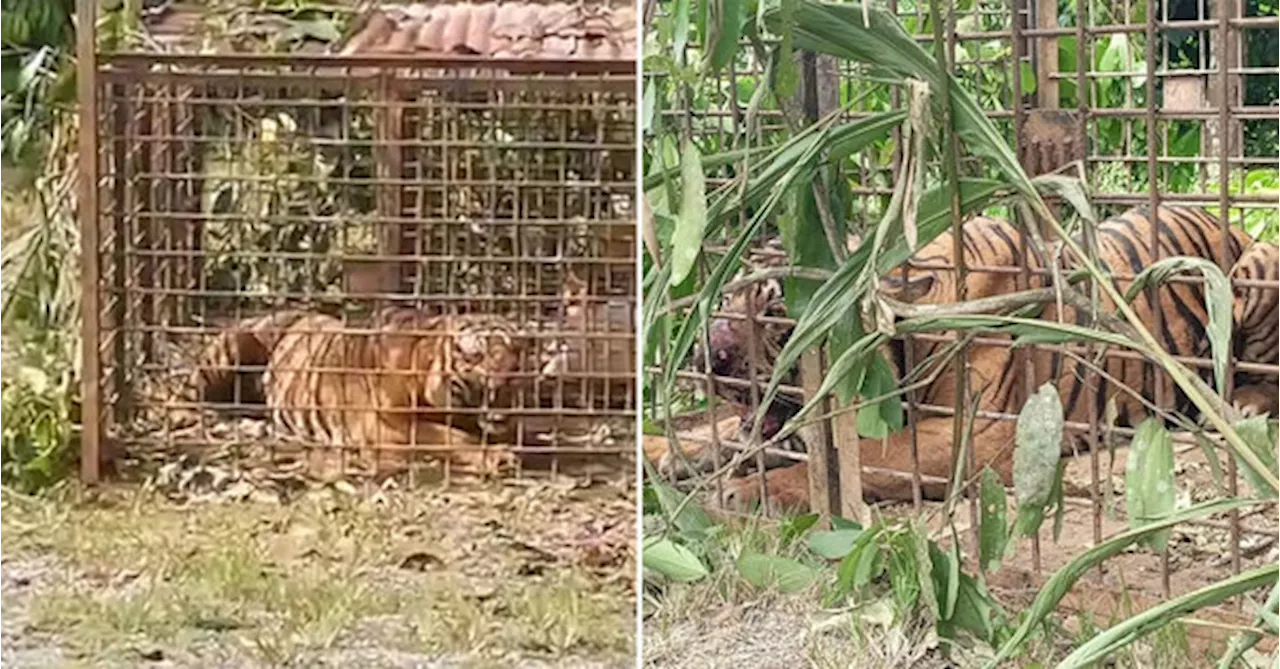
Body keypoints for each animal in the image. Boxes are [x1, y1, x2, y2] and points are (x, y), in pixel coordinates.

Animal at [188, 309, 524, 480]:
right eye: (477, 355)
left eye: (514, 355)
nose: (506, 375)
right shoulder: (384, 425)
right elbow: (448, 437)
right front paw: (497, 457)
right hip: (232, 346)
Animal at [655, 207, 1280, 516]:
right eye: (728, 296)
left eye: (777, 313)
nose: (706, 354)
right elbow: (727, 436)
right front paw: (662, 452)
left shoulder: (979, 435)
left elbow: (858, 457)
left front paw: (749, 491)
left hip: (1252, 271)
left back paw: (1243, 405)